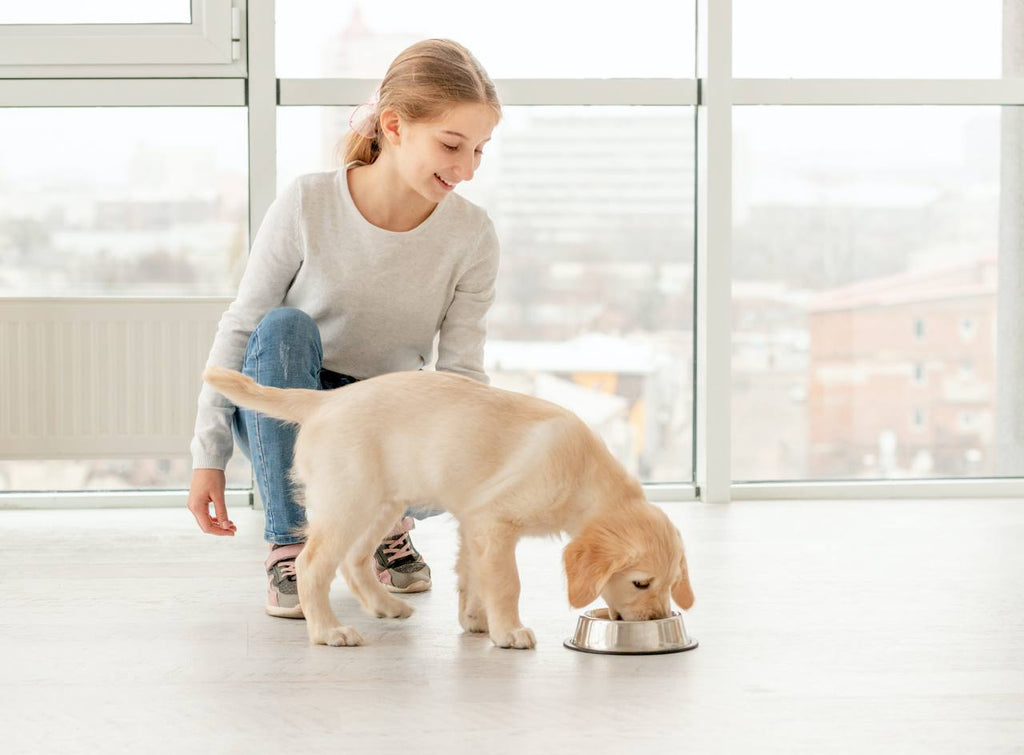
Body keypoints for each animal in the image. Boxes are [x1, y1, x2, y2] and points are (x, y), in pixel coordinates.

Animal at [201, 366, 696, 647]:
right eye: (640, 583)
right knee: (312, 566)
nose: (658, 619)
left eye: (671, 583)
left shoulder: (474, 523)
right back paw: (327, 631)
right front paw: (508, 631)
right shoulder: (495, 522)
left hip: (383, 502)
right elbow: (506, 583)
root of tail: (326, 400)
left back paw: (385, 606)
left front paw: (476, 620)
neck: (581, 472)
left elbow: (472, 576)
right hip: (348, 501)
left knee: (355, 560)